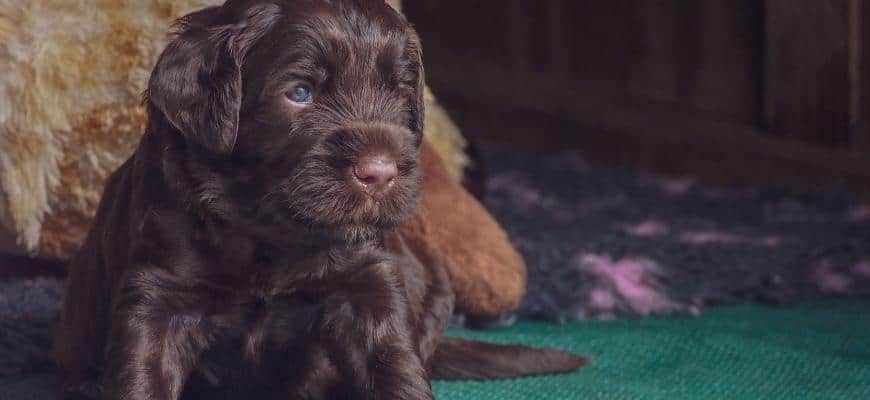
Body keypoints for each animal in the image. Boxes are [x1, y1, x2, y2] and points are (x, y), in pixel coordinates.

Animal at [52, 1, 584, 398]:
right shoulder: (159, 291)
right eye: (300, 93)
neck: (270, 232)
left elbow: (393, 363)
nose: (380, 173)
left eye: (399, 92)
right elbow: (144, 371)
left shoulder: (369, 283)